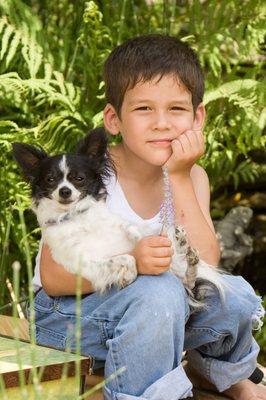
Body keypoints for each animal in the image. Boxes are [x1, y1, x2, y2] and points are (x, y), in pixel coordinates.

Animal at [11, 126, 224, 302]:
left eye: (79, 178)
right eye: (50, 180)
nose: (64, 191)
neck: (78, 216)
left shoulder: (115, 223)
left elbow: (129, 227)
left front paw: (138, 235)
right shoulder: (79, 260)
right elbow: (125, 259)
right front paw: (129, 273)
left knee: (188, 278)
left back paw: (184, 248)